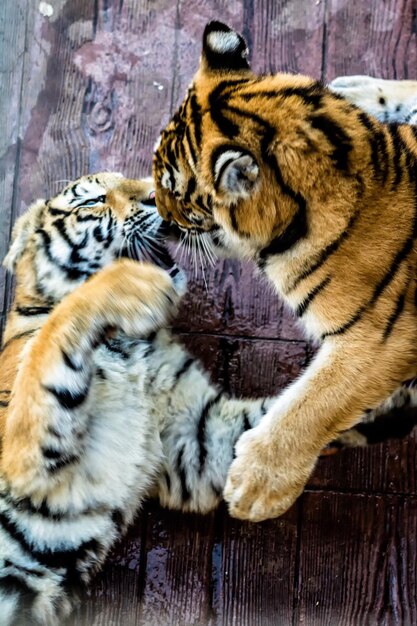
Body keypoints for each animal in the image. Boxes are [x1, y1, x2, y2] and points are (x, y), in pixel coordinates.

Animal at [152, 20, 416, 520]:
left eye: (174, 190)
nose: (156, 215)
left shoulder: (380, 340)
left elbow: (315, 403)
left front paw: (256, 486)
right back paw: (356, 90)